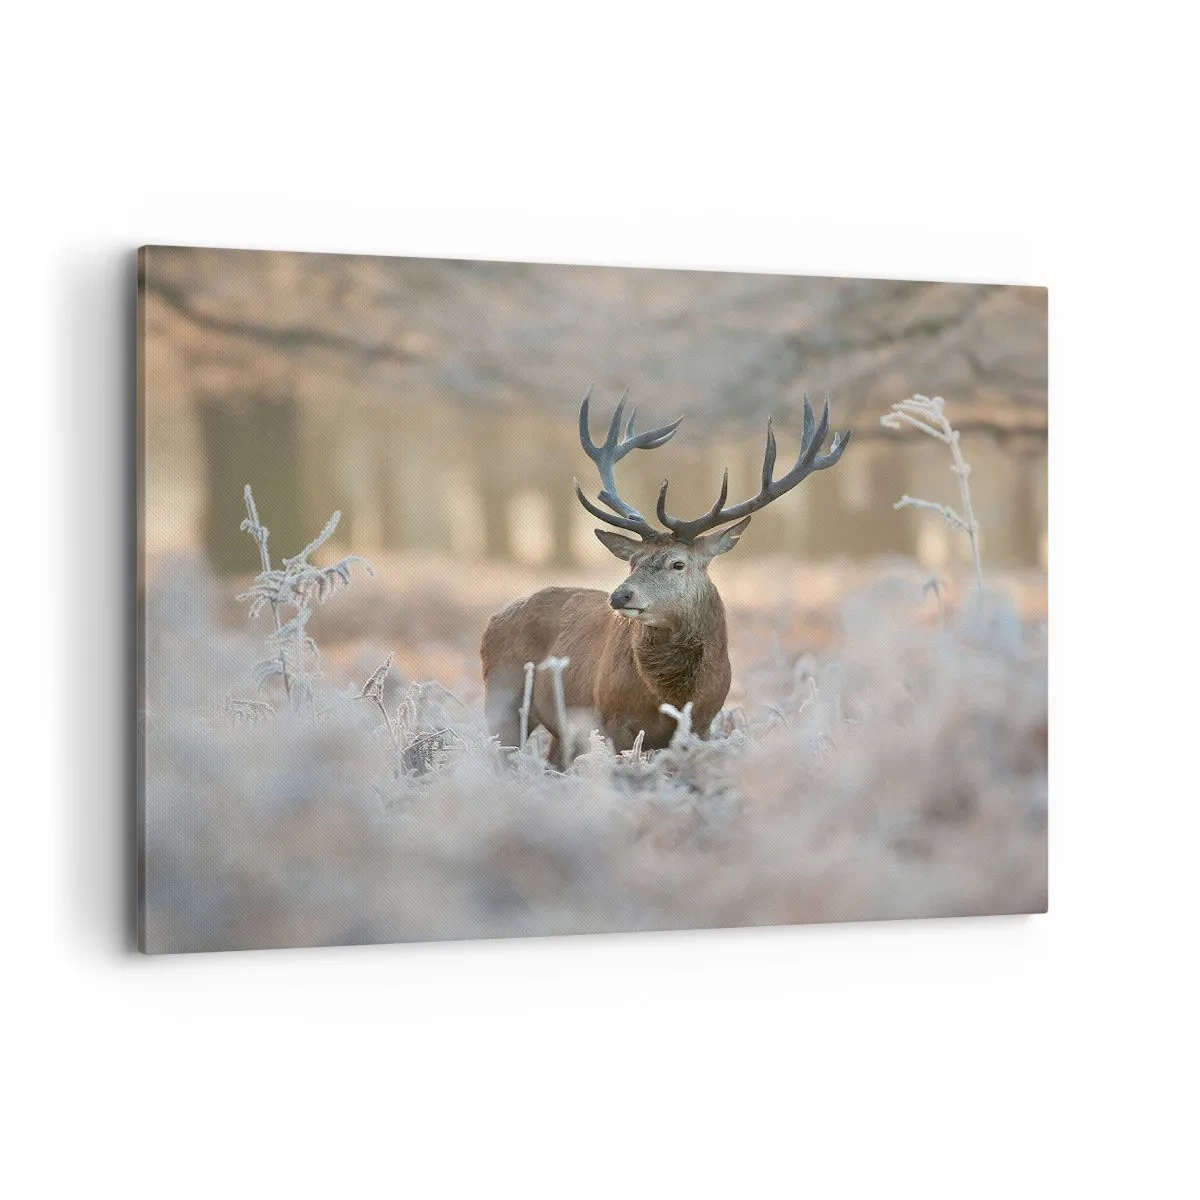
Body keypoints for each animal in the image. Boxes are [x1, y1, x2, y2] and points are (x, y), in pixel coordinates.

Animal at [481, 389, 852, 768]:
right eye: (632, 562)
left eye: (678, 563)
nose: (620, 596)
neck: (672, 695)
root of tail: (494, 619)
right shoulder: (612, 722)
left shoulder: (702, 724)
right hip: (503, 700)